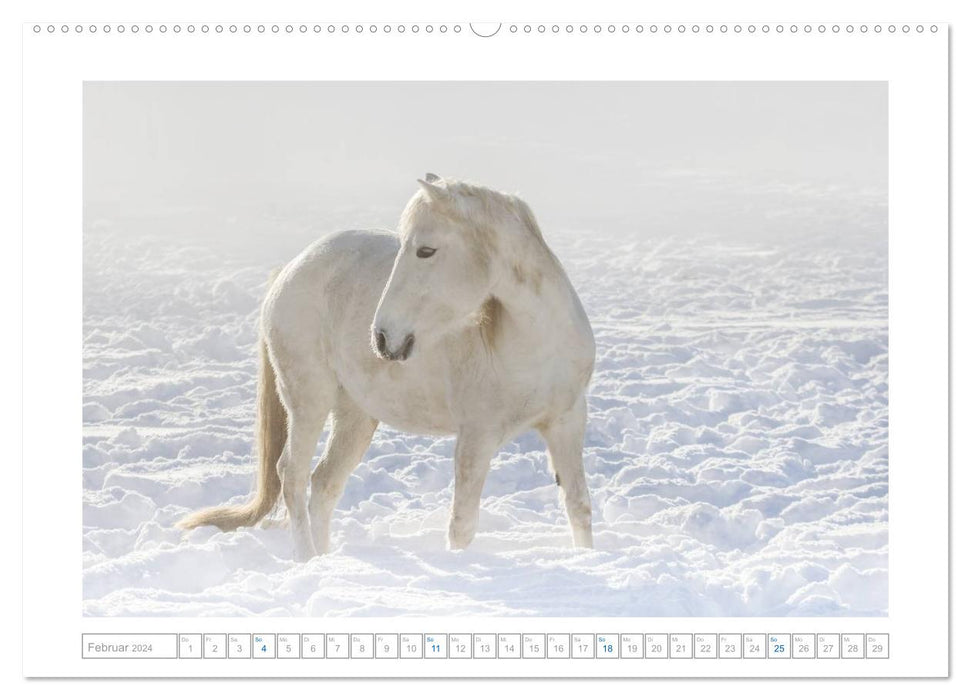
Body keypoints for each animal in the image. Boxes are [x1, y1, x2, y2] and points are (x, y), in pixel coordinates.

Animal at [178, 176, 596, 564]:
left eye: (426, 250)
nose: (381, 337)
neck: (534, 342)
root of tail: (290, 270)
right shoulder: (476, 436)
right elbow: (462, 525)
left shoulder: (567, 422)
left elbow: (578, 505)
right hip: (308, 400)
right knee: (292, 475)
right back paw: (308, 560)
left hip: (356, 416)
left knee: (324, 484)